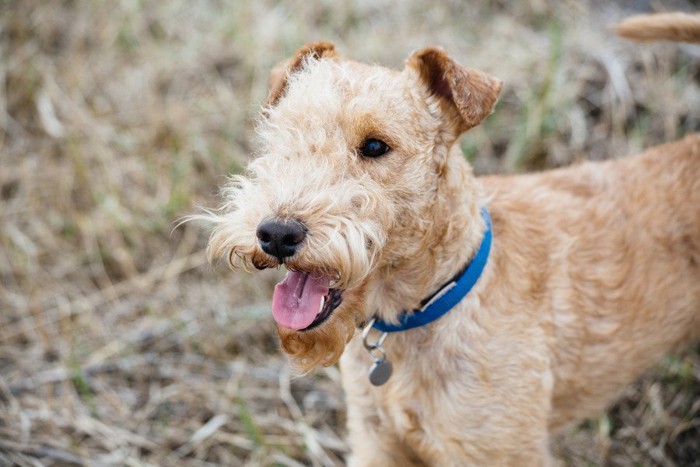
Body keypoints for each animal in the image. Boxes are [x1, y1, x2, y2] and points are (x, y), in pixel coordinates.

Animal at [201, 14, 700, 467]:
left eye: (376, 146)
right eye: (280, 135)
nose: (276, 233)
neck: (424, 307)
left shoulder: (500, 452)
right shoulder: (376, 441)